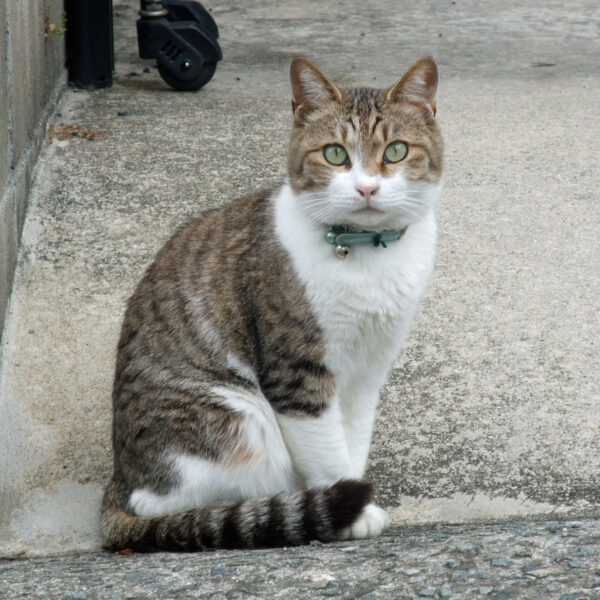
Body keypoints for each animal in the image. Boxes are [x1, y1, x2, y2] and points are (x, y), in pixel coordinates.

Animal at [101, 57, 442, 552]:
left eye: (396, 151)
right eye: (335, 154)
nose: (366, 188)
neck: (366, 256)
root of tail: (118, 481)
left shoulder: (368, 370)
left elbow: (353, 438)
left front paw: (350, 494)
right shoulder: (297, 373)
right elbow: (327, 449)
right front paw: (350, 510)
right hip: (238, 421)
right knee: (163, 504)